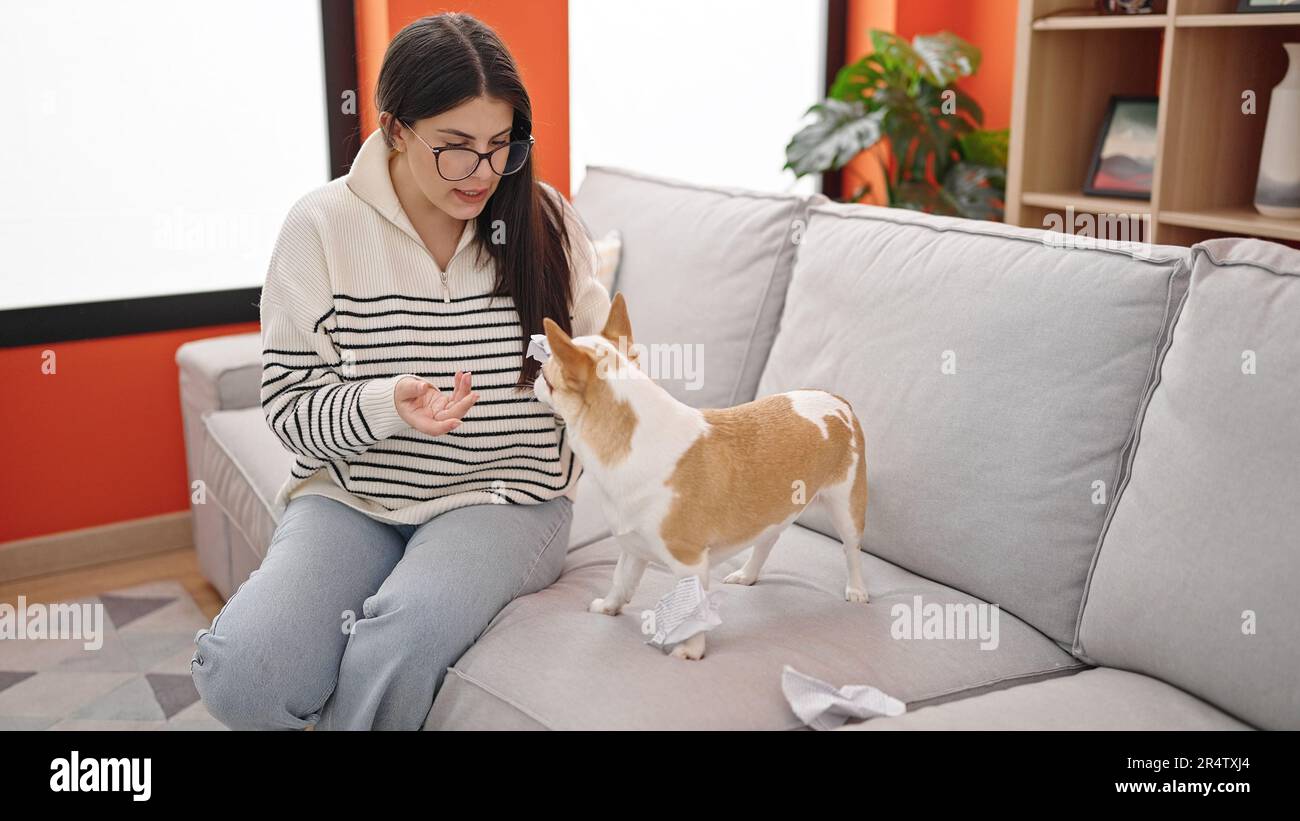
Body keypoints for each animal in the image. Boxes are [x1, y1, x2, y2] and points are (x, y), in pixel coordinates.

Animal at [533, 294, 868, 659]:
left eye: (547, 378)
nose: (534, 376)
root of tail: (837, 400)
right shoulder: (634, 548)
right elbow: (621, 581)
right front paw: (609, 607)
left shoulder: (689, 562)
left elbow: (692, 611)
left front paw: (690, 651)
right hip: (779, 508)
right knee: (768, 539)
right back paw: (747, 574)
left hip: (846, 506)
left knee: (851, 550)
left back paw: (856, 589)